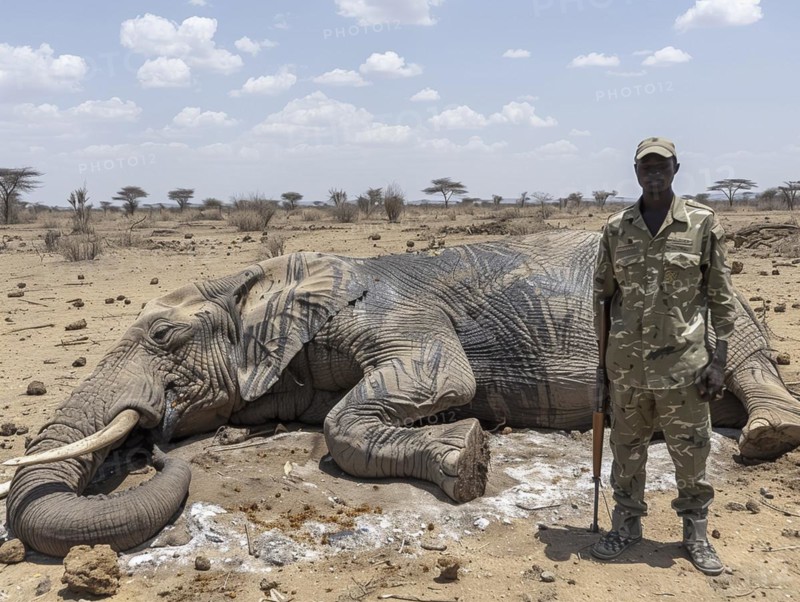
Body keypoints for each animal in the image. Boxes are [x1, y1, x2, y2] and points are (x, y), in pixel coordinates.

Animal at [4, 229, 800, 557]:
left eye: (164, 337)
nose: (155, 441)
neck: (267, 276)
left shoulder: (395, 314)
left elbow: (435, 382)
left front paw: (467, 455)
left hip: (724, 304)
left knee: (746, 365)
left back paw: (766, 436)